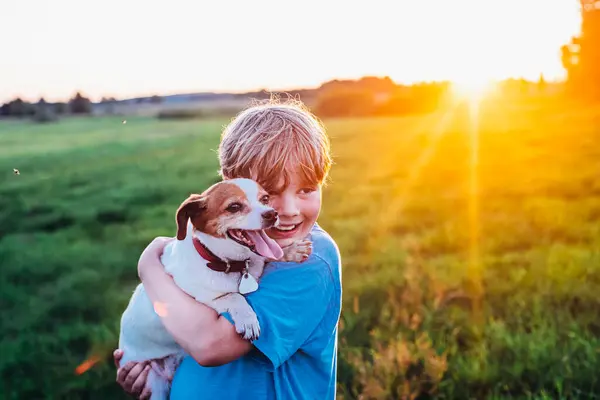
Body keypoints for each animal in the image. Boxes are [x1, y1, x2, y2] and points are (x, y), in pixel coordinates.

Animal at [119, 179, 312, 400]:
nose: (272, 213)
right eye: (234, 207)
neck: (230, 263)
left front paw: (291, 251)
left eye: (265, 199)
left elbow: (267, 255)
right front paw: (247, 319)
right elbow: (234, 296)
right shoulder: (199, 299)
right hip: (155, 385)